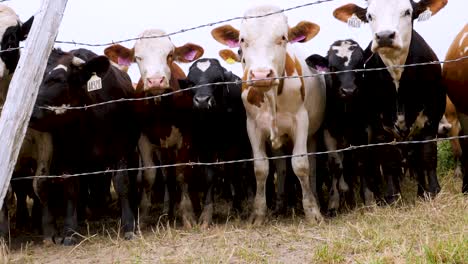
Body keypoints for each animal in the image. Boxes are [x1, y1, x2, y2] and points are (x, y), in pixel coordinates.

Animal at [105, 28, 204, 227]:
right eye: (138, 57)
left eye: (170, 55)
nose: (156, 80)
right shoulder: (143, 139)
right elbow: (149, 176)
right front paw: (142, 216)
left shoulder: (185, 138)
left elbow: (182, 173)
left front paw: (188, 214)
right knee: (166, 175)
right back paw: (168, 211)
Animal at [212, 5, 326, 224]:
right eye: (242, 40)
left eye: (283, 37)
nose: (261, 75)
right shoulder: (253, 126)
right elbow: (261, 168)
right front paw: (258, 214)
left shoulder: (301, 122)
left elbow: (301, 164)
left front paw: (313, 212)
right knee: (281, 167)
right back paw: (280, 206)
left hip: (313, 135)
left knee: (313, 166)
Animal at [306, 38, 374, 212]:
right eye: (332, 68)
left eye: (360, 64)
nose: (348, 91)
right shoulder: (328, 133)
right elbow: (336, 165)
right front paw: (334, 203)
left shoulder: (363, 132)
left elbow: (361, 163)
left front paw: (368, 199)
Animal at [334, 0, 448, 203]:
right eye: (370, 16)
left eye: (407, 12)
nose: (385, 36)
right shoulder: (378, 125)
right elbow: (388, 160)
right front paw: (392, 196)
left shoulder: (431, 118)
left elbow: (427, 156)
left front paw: (433, 191)